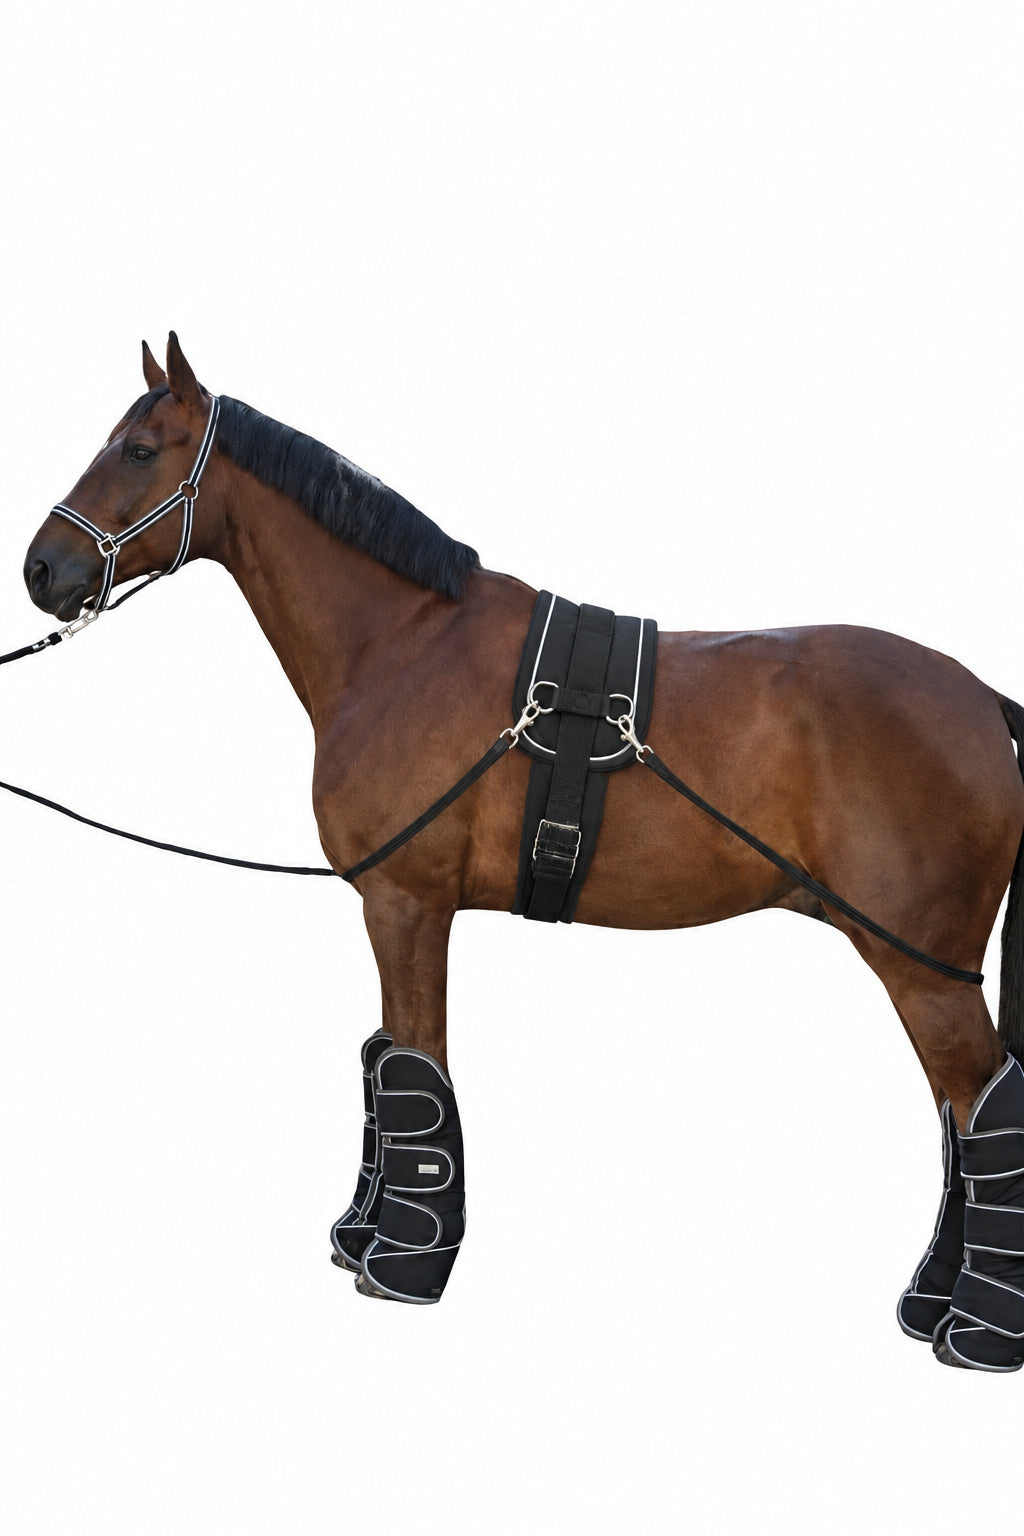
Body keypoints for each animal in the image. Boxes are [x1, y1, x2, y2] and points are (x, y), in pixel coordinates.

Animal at [23, 333, 1024, 1368]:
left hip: (922, 969)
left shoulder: (407, 901)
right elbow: (387, 1058)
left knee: (987, 1105)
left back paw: (982, 1329)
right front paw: (363, 1234)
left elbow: (416, 1064)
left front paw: (401, 1263)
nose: (43, 569)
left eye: (140, 451)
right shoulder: (392, 906)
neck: (402, 644)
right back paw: (934, 1303)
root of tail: (983, 700)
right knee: (958, 1118)